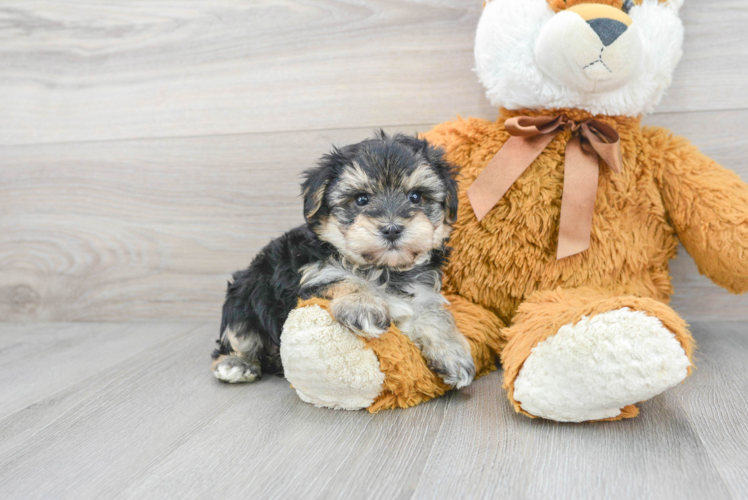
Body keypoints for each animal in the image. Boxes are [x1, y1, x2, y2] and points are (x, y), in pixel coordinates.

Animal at [212, 133, 474, 390]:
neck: (383, 270)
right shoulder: (313, 277)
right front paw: (364, 305)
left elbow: (435, 315)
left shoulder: (424, 292)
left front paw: (453, 353)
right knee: (237, 335)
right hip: (244, 296)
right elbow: (346, 279)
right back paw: (236, 364)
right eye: (361, 199)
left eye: (416, 197)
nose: (392, 229)